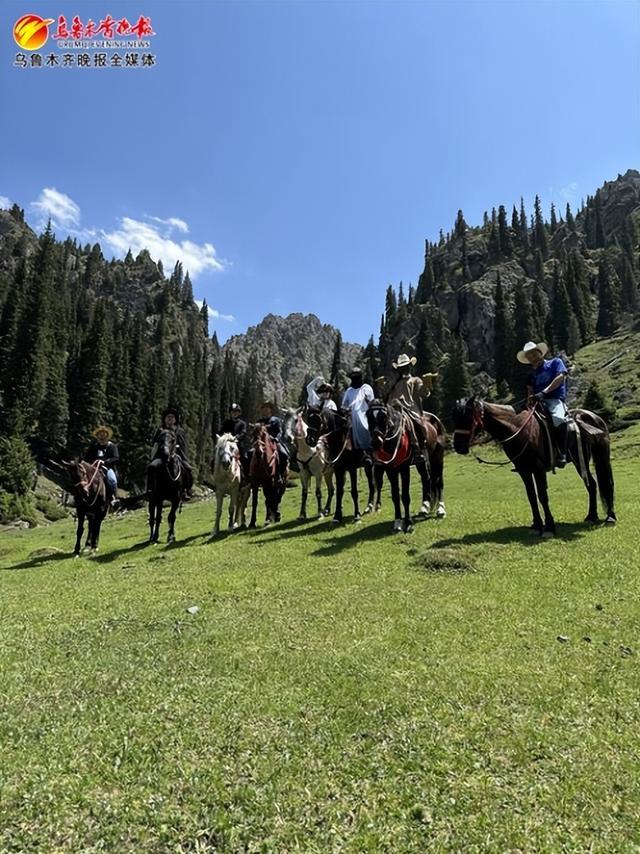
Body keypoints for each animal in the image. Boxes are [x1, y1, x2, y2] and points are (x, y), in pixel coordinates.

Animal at [450, 398, 616, 540]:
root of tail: (594, 417)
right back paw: (591, 516)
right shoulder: (524, 470)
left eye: (468, 417)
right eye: (455, 418)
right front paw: (536, 525)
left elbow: (542, 496)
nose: (458, 446)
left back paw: (610, 518)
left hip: (585, 459)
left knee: (605, 483)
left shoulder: (538, 469)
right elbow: (531, 496)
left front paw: (549, 527)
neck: (518, 429)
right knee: (592, 484)